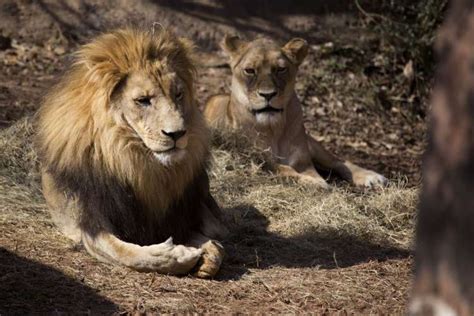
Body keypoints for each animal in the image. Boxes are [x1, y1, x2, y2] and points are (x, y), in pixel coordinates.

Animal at [36, 28, 227, 278]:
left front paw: (208, 252)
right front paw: (175, 256)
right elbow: (124, 253)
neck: (132, 160)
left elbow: (212, 242)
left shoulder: (177, 216)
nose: (177, 133)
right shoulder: (90, 224)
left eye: (178, 94)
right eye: (143, 100)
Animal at [206, 35, 386, 188]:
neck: (274, 129)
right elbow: (285, 170)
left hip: (313, 144)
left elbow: (307, 169)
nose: (268, 94)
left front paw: (316, 181)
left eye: (280, 69)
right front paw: (314, 183)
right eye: (250, 70)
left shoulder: (303, 161)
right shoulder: (257, 159)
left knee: (339, 160)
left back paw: (372, 177)